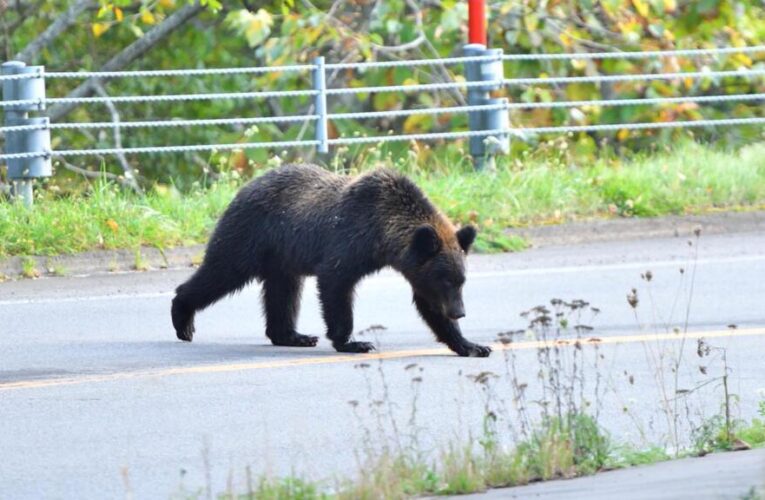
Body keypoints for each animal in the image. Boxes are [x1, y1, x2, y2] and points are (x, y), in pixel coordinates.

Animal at [171, 163, 491, 357]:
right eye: (446, 279)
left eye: (461, 280)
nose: (459, 312)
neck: (382, 236)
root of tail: (246, 186)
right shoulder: (350, 240)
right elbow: (336, 284)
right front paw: (354, 341)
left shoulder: (414, 268)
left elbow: (428, 305)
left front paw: (472, 345)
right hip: (250, 235)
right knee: (222, 271)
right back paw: (183, 318)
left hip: (282, 257)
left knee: (284, 292)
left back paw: (293, 335)